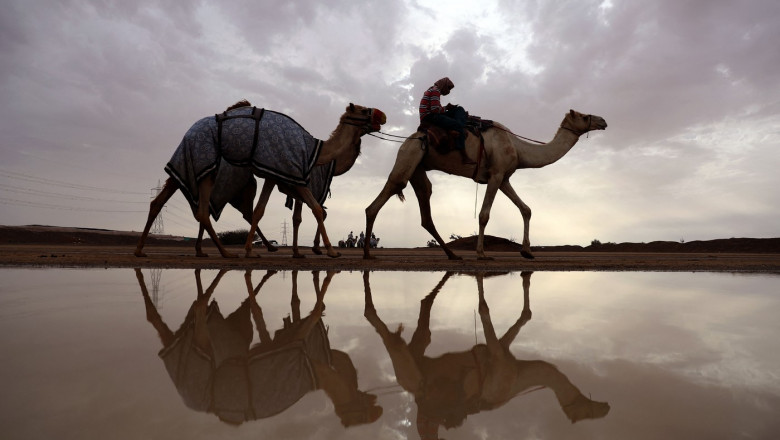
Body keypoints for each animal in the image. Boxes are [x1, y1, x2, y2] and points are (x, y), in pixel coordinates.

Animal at [138, 102, 390, 258]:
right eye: (364, 110)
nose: (383, 115)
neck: (315, 153)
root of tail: (187, 132)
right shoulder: (293, 174)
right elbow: (316, 210)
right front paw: (330, 251)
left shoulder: (275, 174)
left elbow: (267, 212)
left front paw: (260, 250)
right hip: (207, 163)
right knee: (202, 210)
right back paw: (226, 252)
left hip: (197, 167)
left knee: (164, 201)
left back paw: (144, 250)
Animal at [362, 109, 608, 260]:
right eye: (584, 116)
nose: (603, 121)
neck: (518, 148)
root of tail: (407, 140)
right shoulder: (496, 175)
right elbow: (484, 214)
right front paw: (481, 253)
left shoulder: (504, 178)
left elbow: (526, 209)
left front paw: (527, 252)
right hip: (410, 156)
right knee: (386, 193)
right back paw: (367, 254)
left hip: (418, 169)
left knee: (425, 205)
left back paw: (453, 255)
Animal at [362, 270, 612, 434]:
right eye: (586, 413)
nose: (606, 407)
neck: (518, 377)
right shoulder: (499, 358)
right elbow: (484, 310)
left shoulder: (503, 351)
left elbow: (523, 318)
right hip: (409, 372)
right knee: (394, 344)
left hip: (419, 358)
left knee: (422, 334)